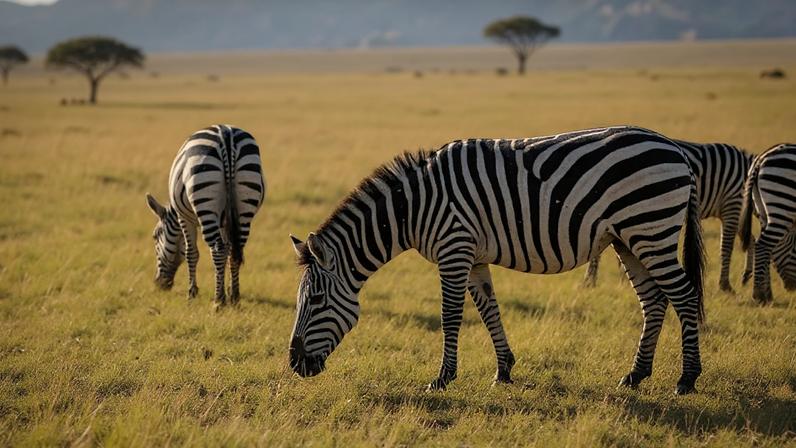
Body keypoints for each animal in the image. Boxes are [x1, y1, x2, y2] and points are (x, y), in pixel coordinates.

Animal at [145, 124, 265, 309]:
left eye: (154, 236)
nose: (159, 284)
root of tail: (226, 135)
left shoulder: (183, 218)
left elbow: (191, 253)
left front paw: (192, 293)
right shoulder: (224, 222)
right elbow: (228, 250)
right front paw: (228, 291)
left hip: (204, 196)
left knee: (217, 250)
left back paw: (218, 302)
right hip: (245, 205)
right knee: (235, 250)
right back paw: (235, 298)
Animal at [288, 126, 705, 395]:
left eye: (317, 301)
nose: (294, 363)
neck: (413, 208)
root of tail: (675, 148)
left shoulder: (453, 249)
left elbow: (450, 316)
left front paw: (442, 378)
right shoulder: (472, 257)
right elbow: (489, 310)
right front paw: (504, 370)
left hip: (651, 228)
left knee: (684, 297)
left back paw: (686, 379)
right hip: (628, 239)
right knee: (654, 301)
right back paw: (636, 375)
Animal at [740, 143, 796, 302]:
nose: (792, 287)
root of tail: (760, 159)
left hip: (764, 209)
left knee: (764, 246)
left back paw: (765, 294)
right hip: (782, 203)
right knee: (763, 245)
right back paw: (759, 295)